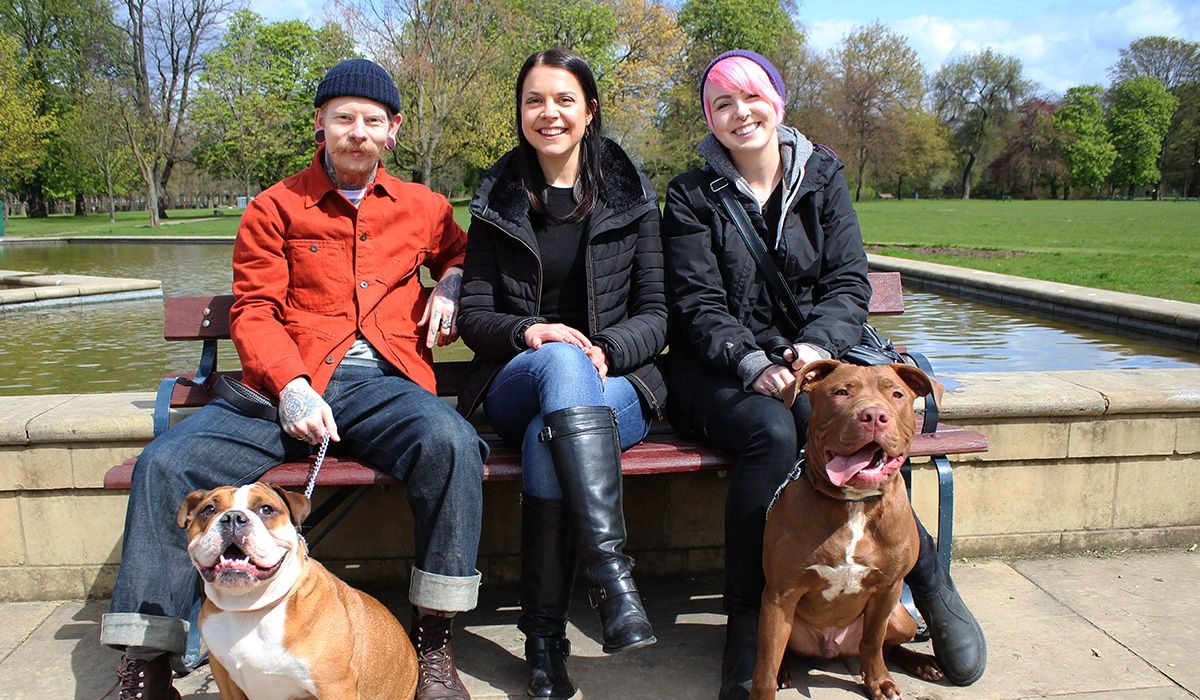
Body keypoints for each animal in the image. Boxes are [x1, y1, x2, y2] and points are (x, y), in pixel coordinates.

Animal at [175, 485, 420, 696]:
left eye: (266, 509)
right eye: (208, 509)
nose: (233, 517)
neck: (248, 606)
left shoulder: (334, 686)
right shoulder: (225, 680)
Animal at [758, 362, 945, 700]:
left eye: (896, 394)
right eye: (841, 391)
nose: (873, 415)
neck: (854, 504)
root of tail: (832, 646)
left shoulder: (889, 588)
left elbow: (872, 641)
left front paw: (878, 681)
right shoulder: (780, 594)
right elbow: (765, 667)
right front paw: (769, 680)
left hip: (903, 619)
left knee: (887, 645)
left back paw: (922, 663)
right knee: (782, 651)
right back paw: (784, 671)